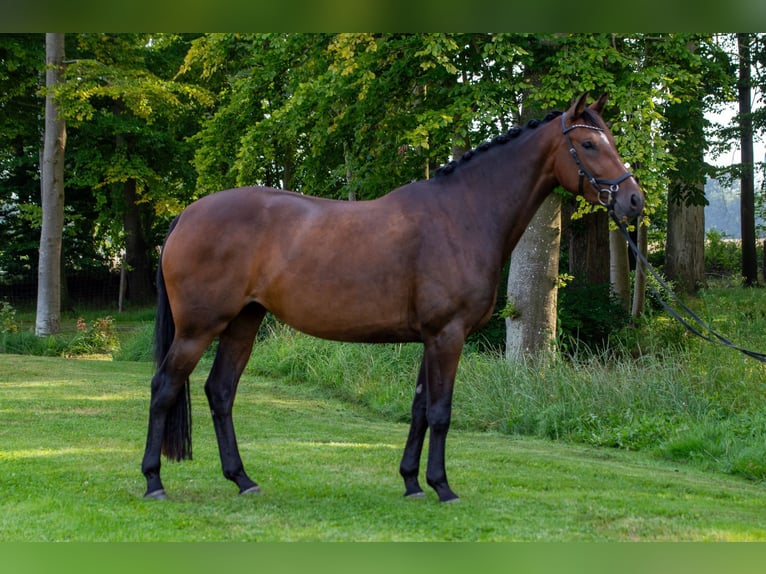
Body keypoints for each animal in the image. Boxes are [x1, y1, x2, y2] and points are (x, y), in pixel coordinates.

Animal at [141, 93, 644, 502]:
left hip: (243, 323)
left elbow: (420, 408)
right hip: (198, 328)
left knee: (220, 391)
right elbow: (440, 412)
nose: (634, 201)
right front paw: (443, 487)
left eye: (610, 139)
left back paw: (242, 479)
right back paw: (153, 482)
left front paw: (412, 482)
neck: (463, 215)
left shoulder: (431, 337)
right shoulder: (448, 335)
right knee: (164, 387)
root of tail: (187, 214)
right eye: (589, 145)